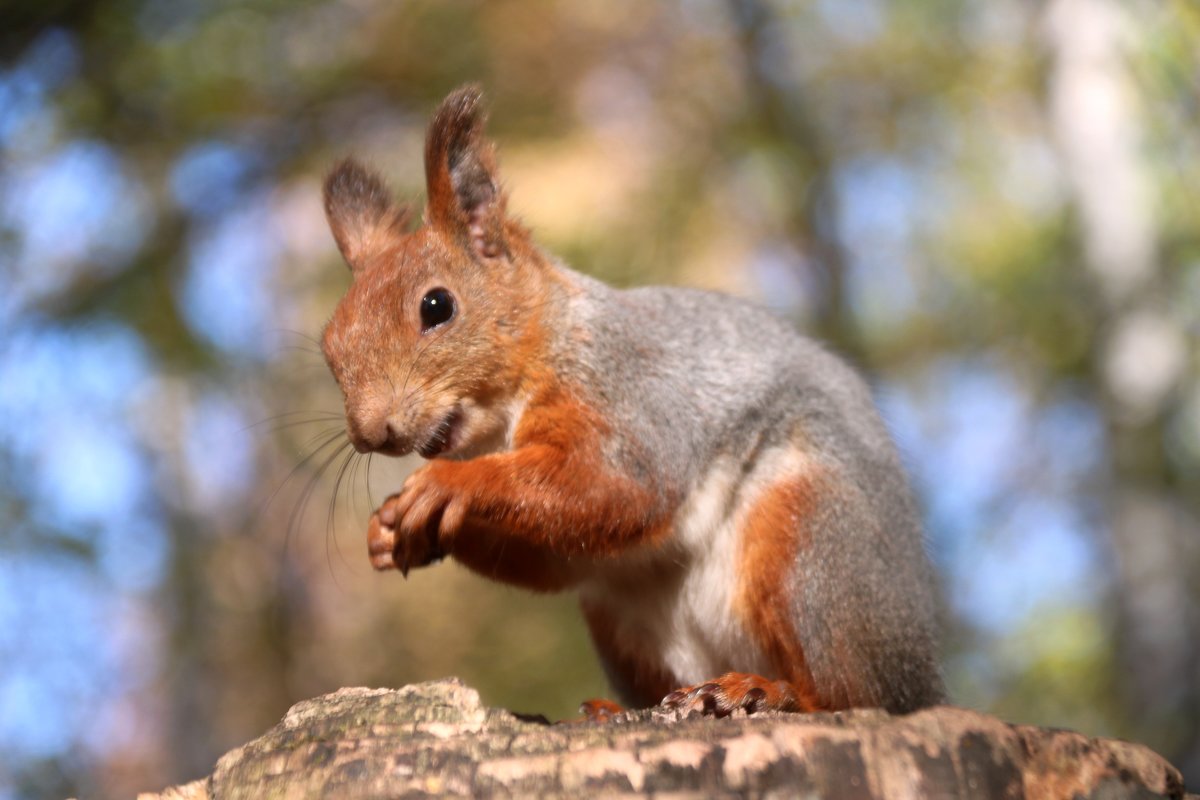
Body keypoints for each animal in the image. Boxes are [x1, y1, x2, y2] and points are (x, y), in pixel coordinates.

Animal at [319, 84, 945, 714]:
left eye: (437, 306)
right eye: (329, 345)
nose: (371, 432)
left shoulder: (626, 395)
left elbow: (619, 488)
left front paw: (449, 485)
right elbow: (556, 555)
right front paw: (389, 531)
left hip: (809, 546)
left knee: (851, 691)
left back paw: (768, 690)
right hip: (625, 624)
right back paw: (616, 707)